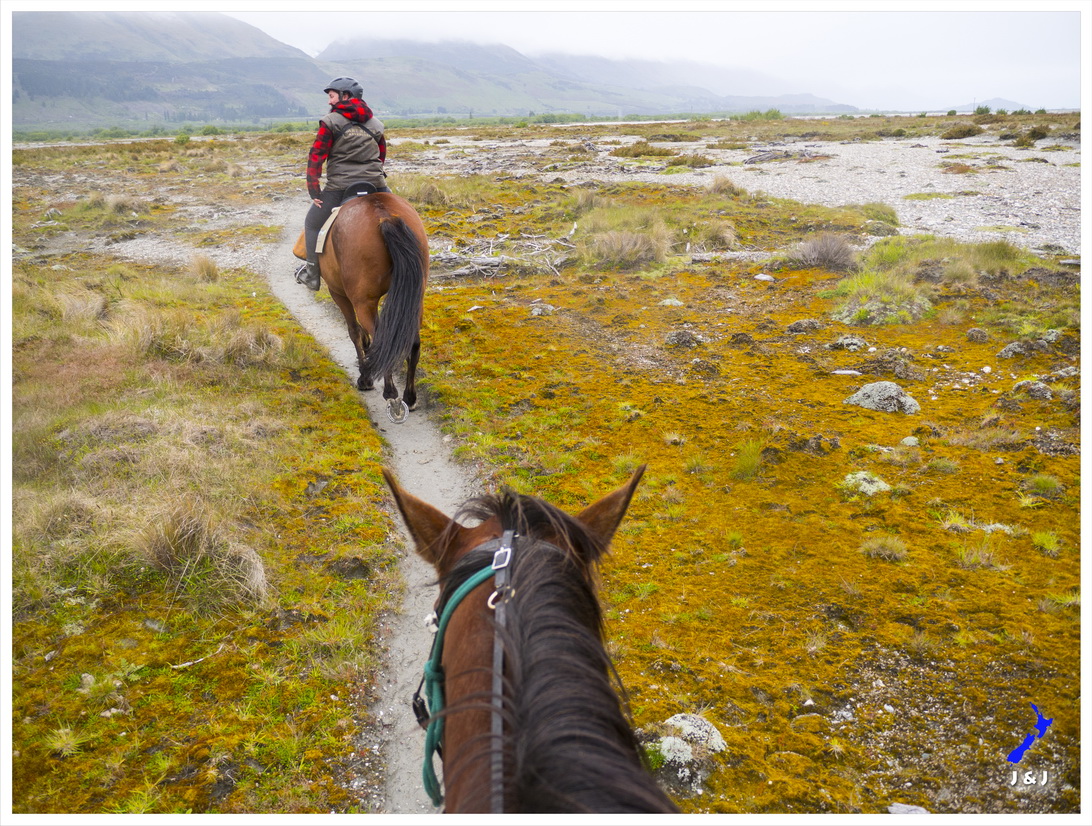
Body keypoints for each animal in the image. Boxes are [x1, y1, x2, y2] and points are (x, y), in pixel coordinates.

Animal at [316, 193, 429, 420]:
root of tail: (385, 216)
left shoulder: (338, 293)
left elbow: (354, 332)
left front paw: (365, 378)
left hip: (363, 301)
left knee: (380, 339)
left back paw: (391, 394)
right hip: (416, 298)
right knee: (413, 343)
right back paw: (410, 397)